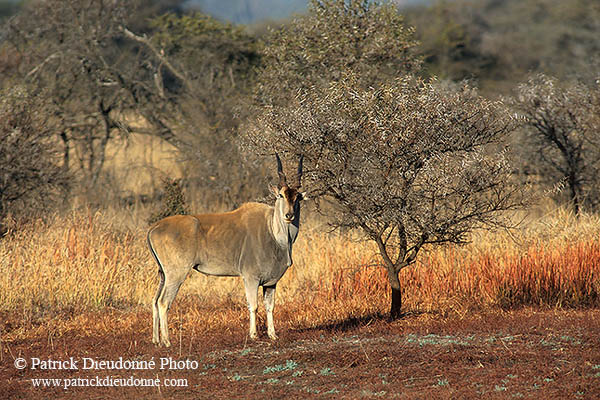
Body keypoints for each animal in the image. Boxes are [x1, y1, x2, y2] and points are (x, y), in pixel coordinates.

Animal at [146, 155, 304, 346]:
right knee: (163, 302)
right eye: (281, 195)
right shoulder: (250, 278)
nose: (289, 215)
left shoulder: (270, 283)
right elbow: (253, 305)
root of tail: (154, 228)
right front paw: (253, 335)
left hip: (163, 274)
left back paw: (156, 340)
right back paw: (167, 341)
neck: (272, 232)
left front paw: (273, 335)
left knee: (155, 301)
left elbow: (270, 307)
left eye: (298, 197)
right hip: (176, 274)